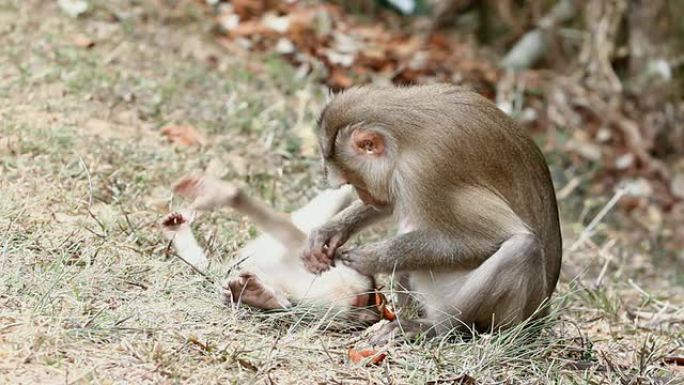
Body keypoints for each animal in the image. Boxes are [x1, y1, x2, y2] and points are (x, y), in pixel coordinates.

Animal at [304, 84, 560, 342]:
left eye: (354, 180)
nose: (365, 196)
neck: (401, 136)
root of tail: (541, 316)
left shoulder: (423, 172)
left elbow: (491, 239)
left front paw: (371, 259)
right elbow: (390, 203)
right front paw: (330, 232)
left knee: (523, 249)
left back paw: (438, 328)